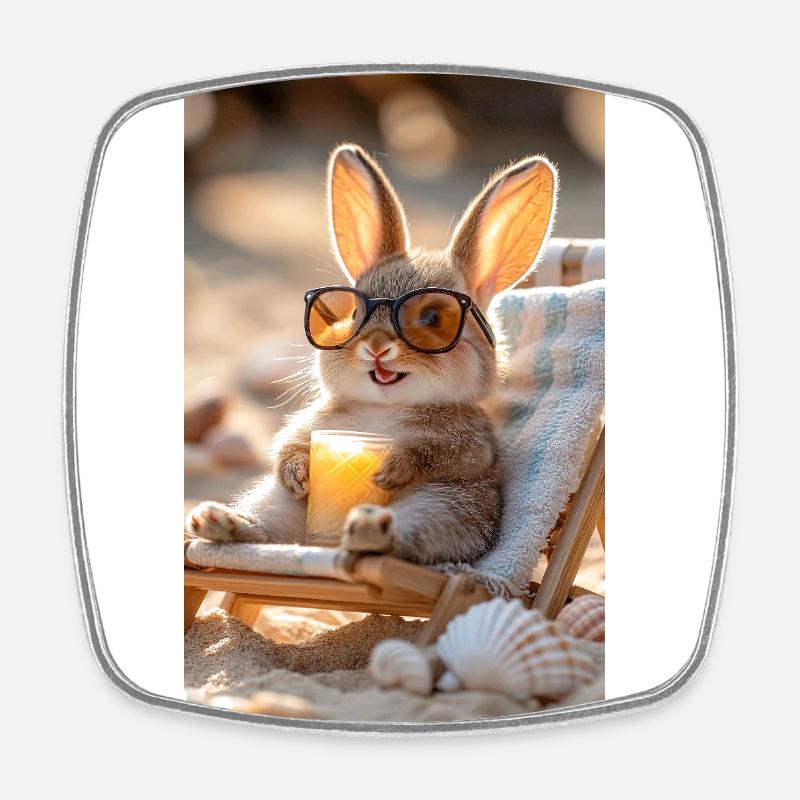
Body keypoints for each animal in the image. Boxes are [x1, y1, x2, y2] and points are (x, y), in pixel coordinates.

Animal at [186, 143, 557, 564]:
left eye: (432, 318)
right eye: (353, 314)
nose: (376, 347)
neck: (384, 407)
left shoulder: (468, 444)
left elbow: (440, 454)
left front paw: (390, 470)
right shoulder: (313, 424)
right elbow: (288, 446)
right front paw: (297, 475)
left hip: (443, 506)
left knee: (406, 536)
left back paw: (368, 530)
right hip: (277, 505)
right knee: (265, 528)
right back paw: (218, 522)